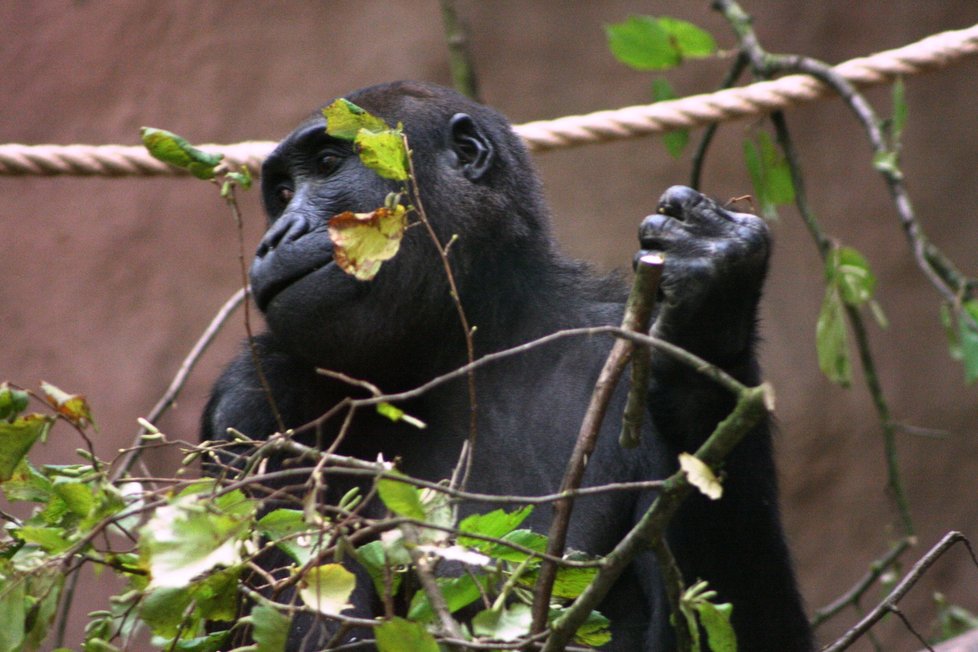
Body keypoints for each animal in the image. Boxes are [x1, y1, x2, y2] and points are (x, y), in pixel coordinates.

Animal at [202, 81, 812, 652]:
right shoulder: (250, 400)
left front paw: (707, 312)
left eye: (328, 164)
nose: (274, 238)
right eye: (282, 194)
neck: (473, 340)